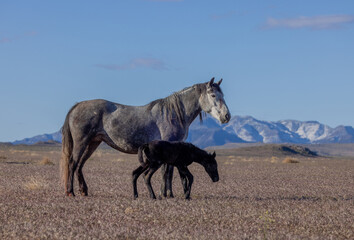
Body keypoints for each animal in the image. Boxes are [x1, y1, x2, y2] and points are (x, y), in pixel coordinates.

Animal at [60, 78, 232, 196]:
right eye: (213, 95)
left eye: (223, 95)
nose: (226, 116)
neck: (174, 114)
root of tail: (77, 106)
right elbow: (166, 172)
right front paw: (165, 194)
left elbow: (169, 172)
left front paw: (168, 193)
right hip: (82, 142)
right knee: (73, 163)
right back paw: (70, 192)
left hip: (93, 143)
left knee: (80, 165)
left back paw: (83, 190)